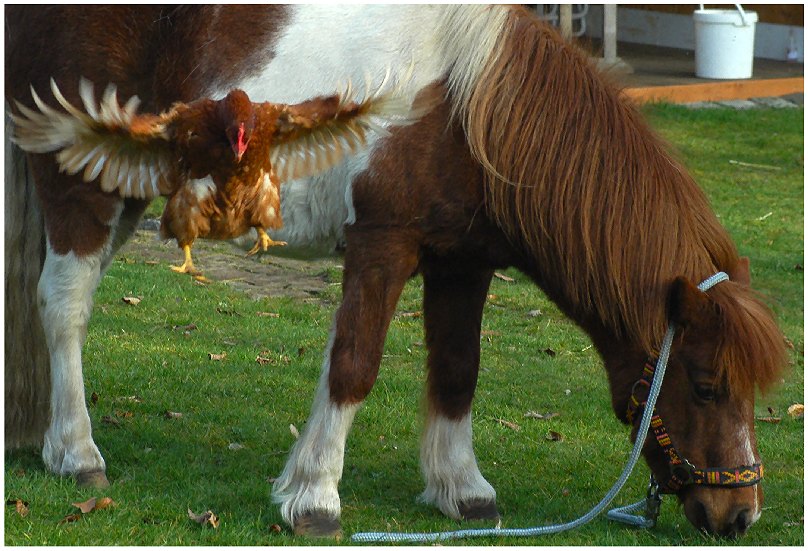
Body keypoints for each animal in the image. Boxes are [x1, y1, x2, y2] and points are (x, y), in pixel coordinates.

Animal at [4, 4, 784, 540]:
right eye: (706, 384)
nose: (740, 512)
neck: (466, 113)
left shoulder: (462, 263)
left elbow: (459, 372)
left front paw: (463, 490)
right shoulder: (382, 246)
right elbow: (354, 366)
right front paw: (313, 497)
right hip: (82, 187)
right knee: (64, 306)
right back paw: (76, 453)